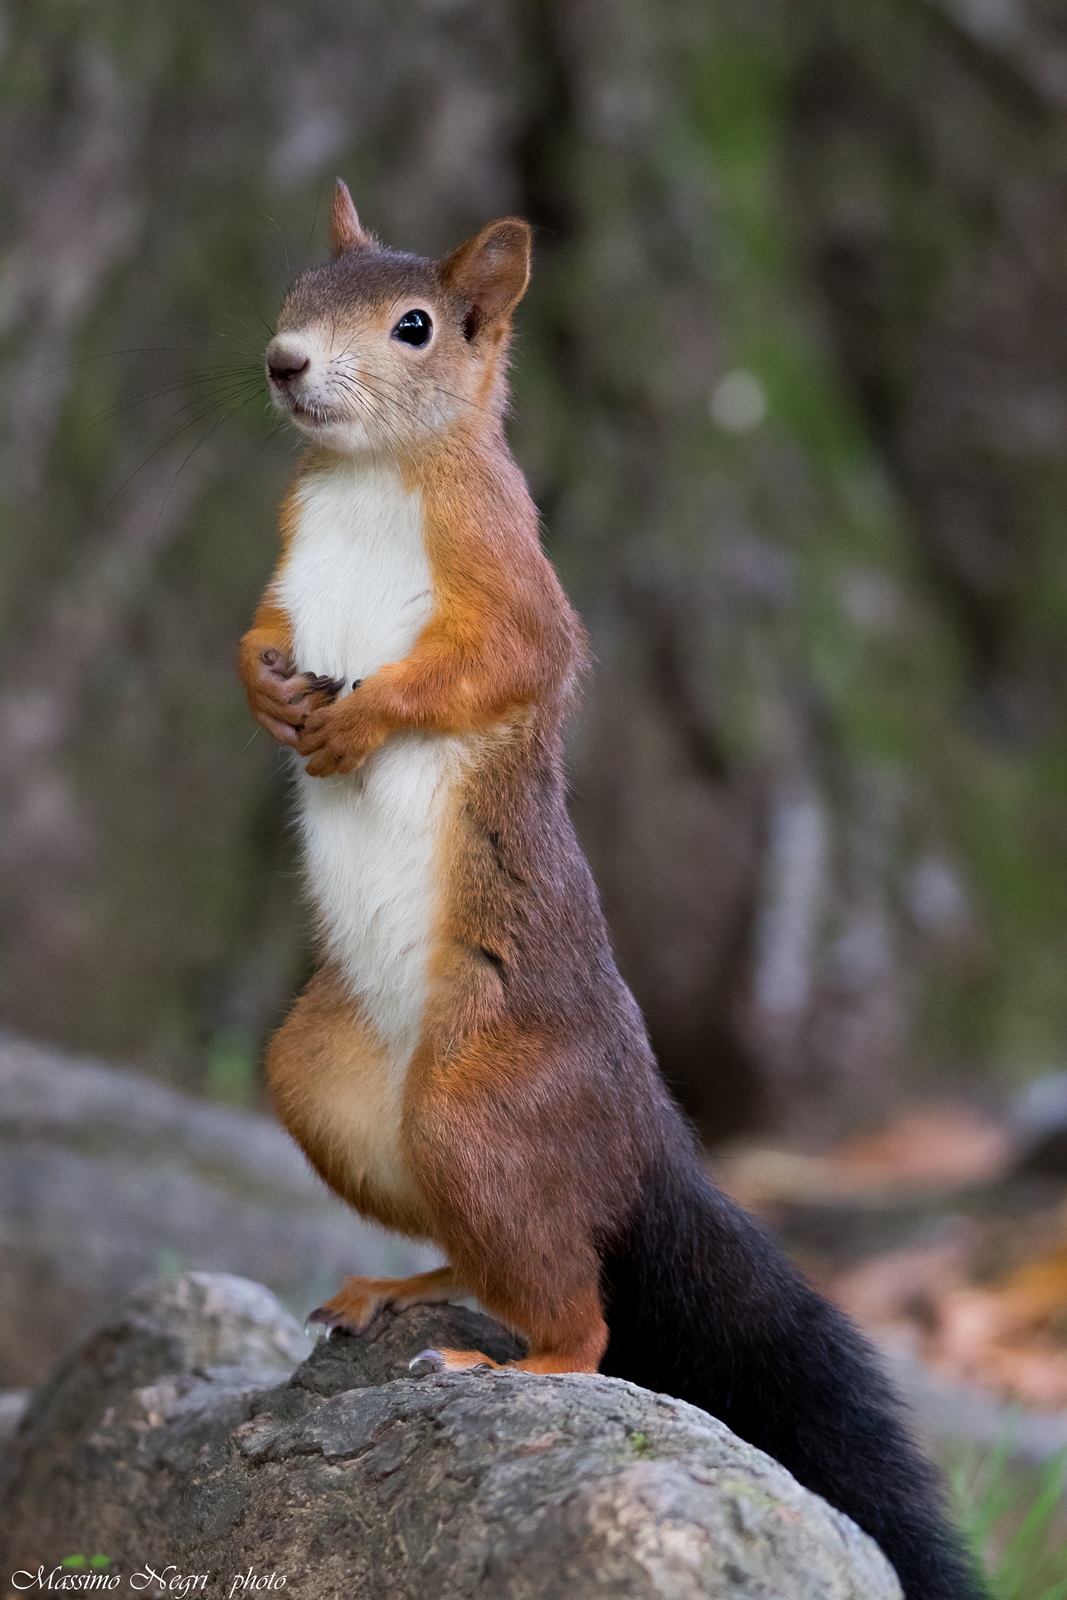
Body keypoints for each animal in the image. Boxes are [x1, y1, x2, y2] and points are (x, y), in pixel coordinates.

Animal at [239, 180, 986, 1600]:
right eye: (297, 289)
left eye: (414, 325)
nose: (284, 364)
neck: (371, 481)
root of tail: (645, 1136)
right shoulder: (287, 556)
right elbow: (254, 631)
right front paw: (263, 683)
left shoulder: (509, 576)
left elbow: (499, 663)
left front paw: (364, 722)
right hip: (332, 1082)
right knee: (492, 1246)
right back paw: (407, 1288)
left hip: (480, 1102)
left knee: (580, 1314)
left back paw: (517, 1361)